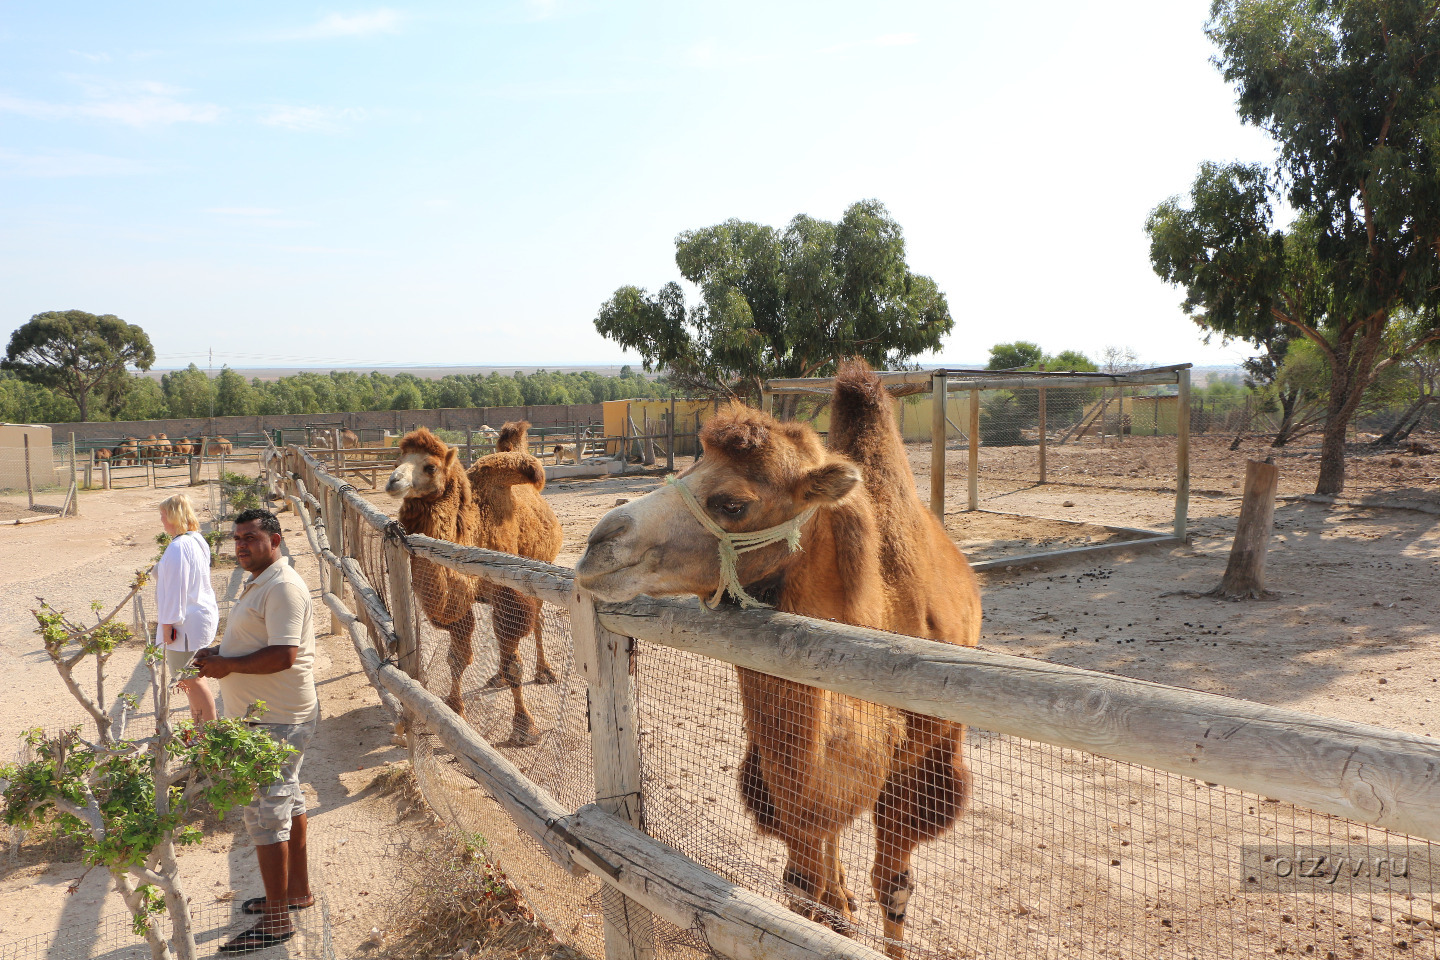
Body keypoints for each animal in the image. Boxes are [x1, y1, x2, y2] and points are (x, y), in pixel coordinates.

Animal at [383, 428, 555, 748]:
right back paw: (497, 677)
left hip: (538, 571)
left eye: (430, 466)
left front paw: (524, 729)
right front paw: (454, 709)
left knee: (536, 622)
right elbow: (457, 659)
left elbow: (515, 665)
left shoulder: (510, 592)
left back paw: (544, 672)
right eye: (397, 461)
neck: (473, 531)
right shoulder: (459, 602)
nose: (393, 481)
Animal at [578, 362, 984, 960]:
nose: (597, 545)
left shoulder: (915, 762)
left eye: (733, 503)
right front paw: (832, 907)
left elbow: (893, 886)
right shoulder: (790, 794)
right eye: (693, 464)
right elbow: (806, 888)